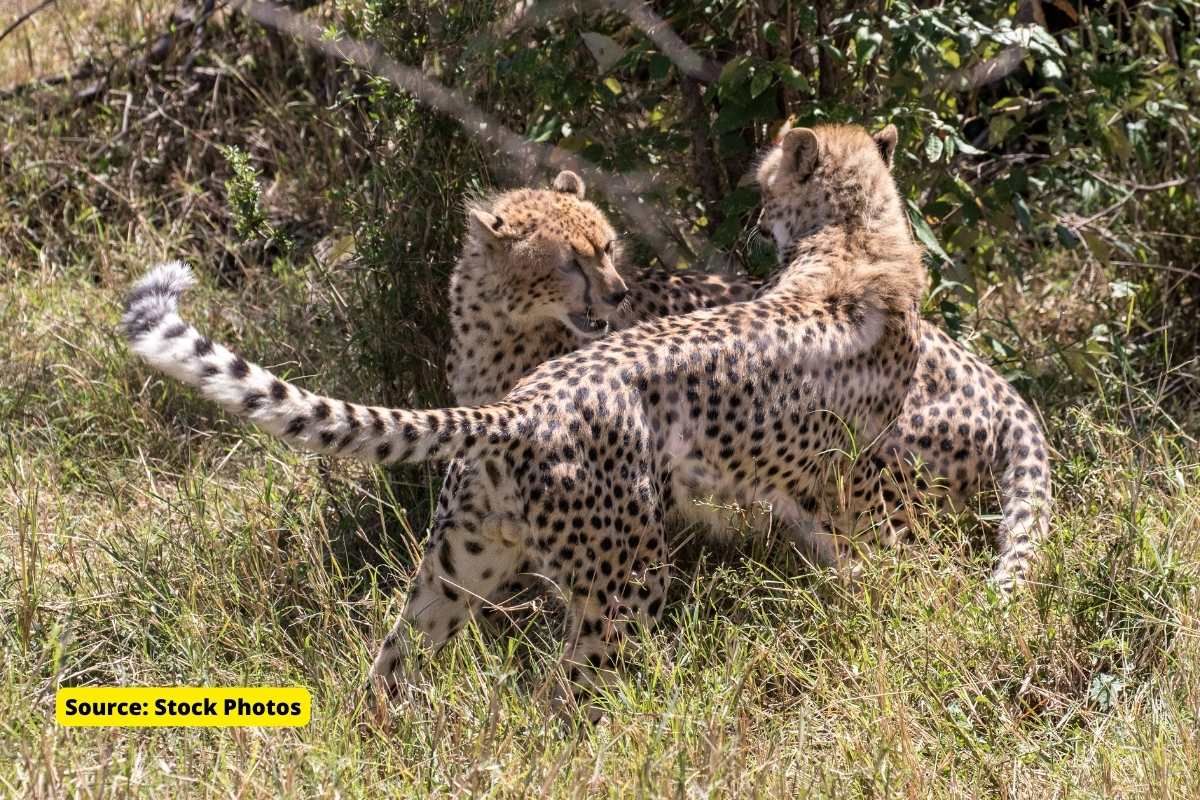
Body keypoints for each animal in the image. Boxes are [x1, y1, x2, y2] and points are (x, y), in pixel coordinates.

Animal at [120, 122, 1047, 716]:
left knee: (403, 662)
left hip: (468, 565)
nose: (751, 211)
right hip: (621, 574)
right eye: (572, 257)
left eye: (607, 246)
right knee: (559, 694)